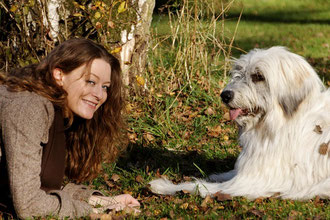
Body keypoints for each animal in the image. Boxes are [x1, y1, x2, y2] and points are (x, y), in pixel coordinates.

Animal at [149, 47, 330, 200]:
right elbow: (230, 172)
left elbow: (198, 187)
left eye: (258, 76)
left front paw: (164, 186)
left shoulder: (252, 181)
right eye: (238, 72)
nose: (225, 95)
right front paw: (217, 174)